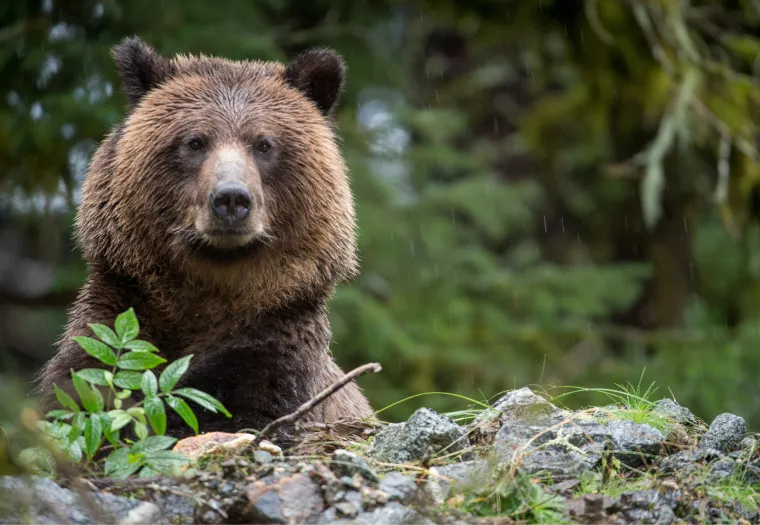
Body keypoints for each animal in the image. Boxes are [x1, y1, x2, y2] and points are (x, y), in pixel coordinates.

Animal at [34, 36, 373, 441]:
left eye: (264, 144)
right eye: (195, 142)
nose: (231, 198)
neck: (209, 291)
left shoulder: (277, 335)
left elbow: (237, 403)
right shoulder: (117, 312)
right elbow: (81, 387)